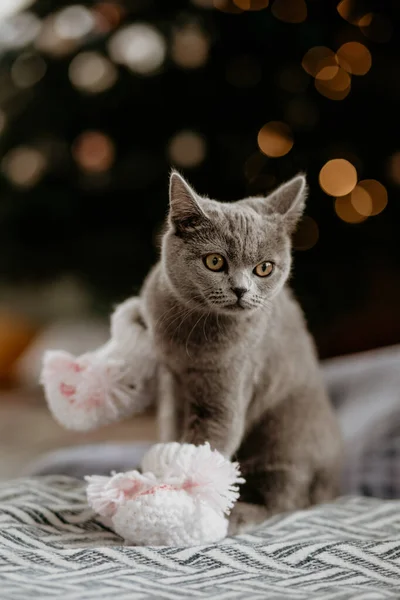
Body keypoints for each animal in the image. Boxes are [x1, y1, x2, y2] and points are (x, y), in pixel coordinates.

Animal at [141, 171, 340, 532]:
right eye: (215, 261)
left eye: (264, 268)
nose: (240, 290)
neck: (188, 333)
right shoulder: (172, 383)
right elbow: (174, 432)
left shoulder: (228, 387)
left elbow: (204, 446)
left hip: (285, 441)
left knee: (286, 498)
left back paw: (240, 514)